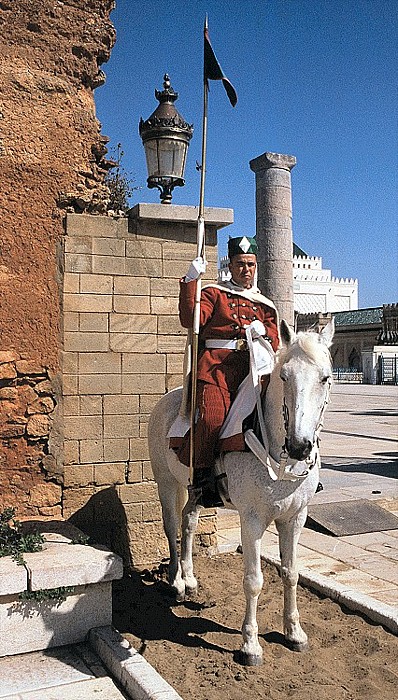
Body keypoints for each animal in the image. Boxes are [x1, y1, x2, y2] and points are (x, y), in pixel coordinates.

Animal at [148, 320, 334, 664]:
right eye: (283, 376)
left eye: (325, 378)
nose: (300, 446)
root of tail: (170, 398)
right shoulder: (252, 521)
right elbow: (254, 581)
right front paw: (250, 645)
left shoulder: (295, 518)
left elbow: (291, 573)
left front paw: (294, 633)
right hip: (166, 482)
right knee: (171, 527)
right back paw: (176, 581)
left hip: (195, 491)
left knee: (188, 523)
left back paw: (190, 578)